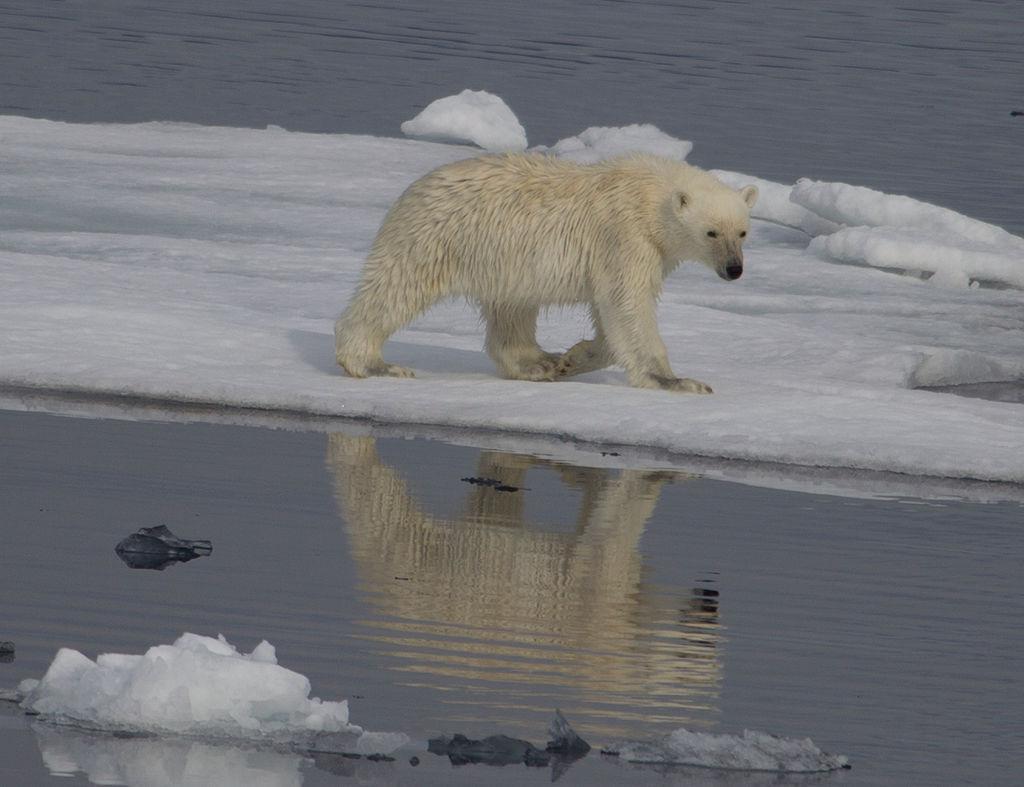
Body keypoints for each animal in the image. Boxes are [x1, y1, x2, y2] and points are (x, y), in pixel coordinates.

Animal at [335, 153, 757, 393]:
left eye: (742, 232)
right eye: (711, 232)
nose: (733, 269)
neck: (650, 197)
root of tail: (414, 188)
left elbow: (611, 314)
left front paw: (572, 358)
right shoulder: (625, 236)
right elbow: (628, 304)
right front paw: (678, 381)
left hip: (503, 259)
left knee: (512, 309)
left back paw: (538, 363)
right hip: (436, 236)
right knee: (396, 287)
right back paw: (373, 363)